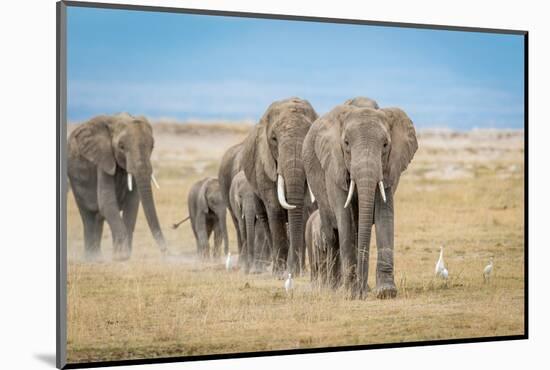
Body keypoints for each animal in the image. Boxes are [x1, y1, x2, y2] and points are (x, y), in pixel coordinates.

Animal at [67, 112, 166, 260]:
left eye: (152, 146)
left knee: (98, 217)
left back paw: (98, 257)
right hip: (74, 178)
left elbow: (132, 204)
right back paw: (92, 258)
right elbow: (107, 203)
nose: (165, 251)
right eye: (121, 146)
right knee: (88, 215)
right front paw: (122, 256)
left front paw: (122, 255)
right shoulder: (103, 158)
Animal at [242, 97, 320, 276]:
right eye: (274, 139)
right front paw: (280, 272)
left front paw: (295, 272)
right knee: (265, 219)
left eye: (309, 138)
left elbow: (303, 208)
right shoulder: (264, 163)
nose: (294, 271)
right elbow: (275, 208)